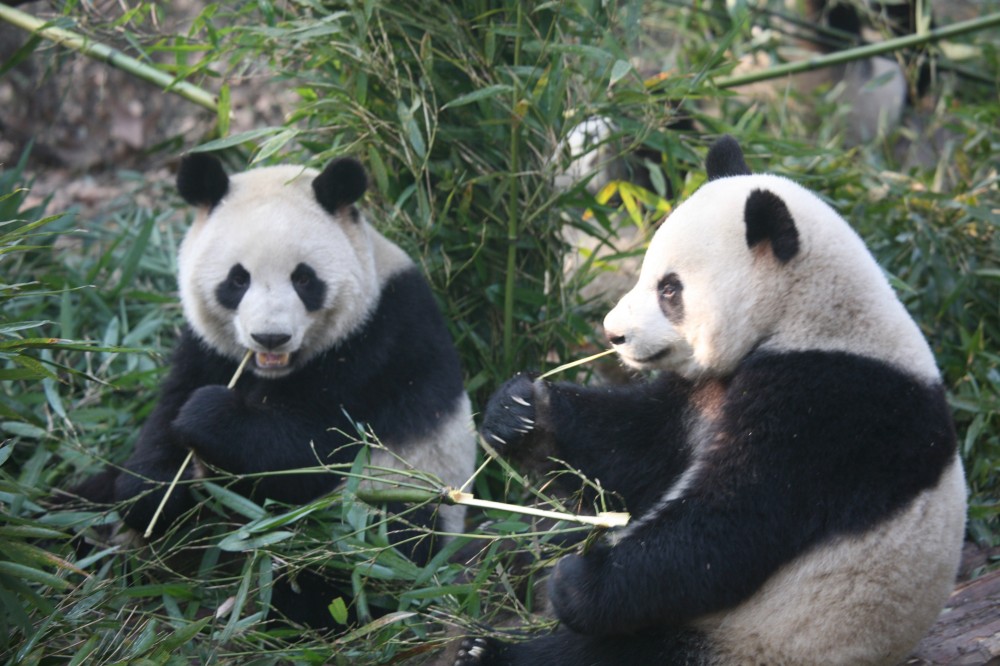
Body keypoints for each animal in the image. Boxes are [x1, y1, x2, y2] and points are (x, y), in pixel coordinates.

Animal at [71, 153, 476, 620]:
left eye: (304, 279)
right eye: (237, 279)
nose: (270, 337)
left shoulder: (375, 349)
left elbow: (305, 451)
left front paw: (208, 415)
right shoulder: (207, 349)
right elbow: (165, 422)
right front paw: (151, 496)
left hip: (393, 495)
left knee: (360, 556)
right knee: (77, 499)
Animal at [458, 136, 964, 664]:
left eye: (669, 289)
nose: (613, 334)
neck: (808, 316)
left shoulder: (828, 408)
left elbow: (732, 526)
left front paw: (577, 581)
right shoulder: (705, 392)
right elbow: (635, 451)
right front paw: (519, 412)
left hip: (755, 638)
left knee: (614, 652)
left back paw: (490, 647)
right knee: (517, 543)